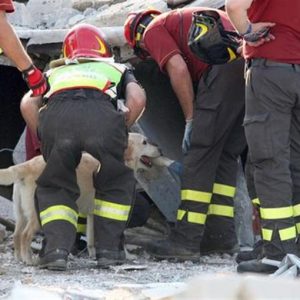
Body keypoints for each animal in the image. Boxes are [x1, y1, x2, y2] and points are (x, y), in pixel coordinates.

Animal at [0, 134, 171, 264]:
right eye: (144, 142)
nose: (161, 150)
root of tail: (26, 165)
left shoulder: (92, 212)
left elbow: (91, 238)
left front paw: (93, 254)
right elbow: (120, 238)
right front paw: (126, 256)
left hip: (21, 212)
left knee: (16, 234)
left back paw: (19, 258)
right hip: (38, 213)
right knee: (25, 235)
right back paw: (29, 260)